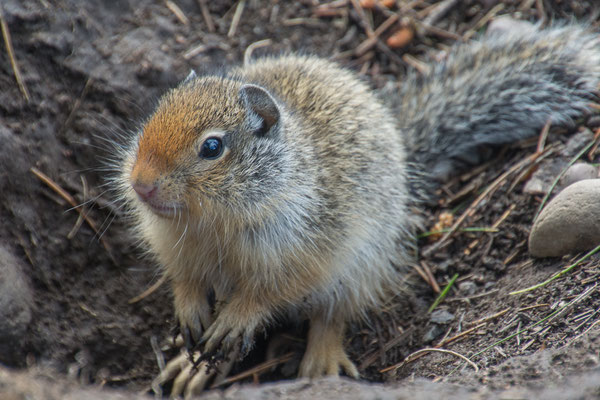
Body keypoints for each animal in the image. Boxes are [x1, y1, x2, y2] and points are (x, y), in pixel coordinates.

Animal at [112, 22, 600, 396]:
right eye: (155, 113)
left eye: (212, 147)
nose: (140, 185)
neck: (212, 221)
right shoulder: (174, 246)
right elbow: (185, 279)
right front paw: (190, 311)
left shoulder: (303, 251)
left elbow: (267, 293)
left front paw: (237, 316)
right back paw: (191, 370)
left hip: (360, 267)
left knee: (333, 315)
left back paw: (320, 366)